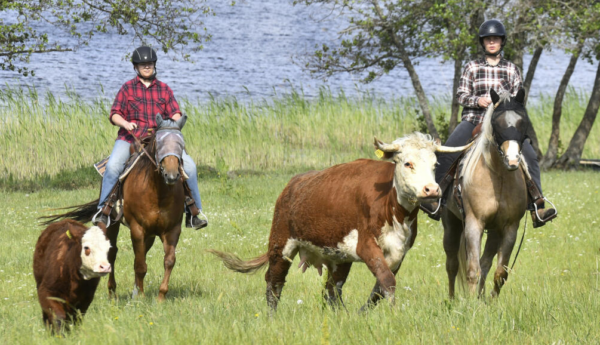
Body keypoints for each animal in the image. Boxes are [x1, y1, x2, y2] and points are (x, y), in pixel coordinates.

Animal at [42, 114, 188, 300]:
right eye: (160, 143)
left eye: (181, 144)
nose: (171, 175)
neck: (158, 192)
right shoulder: (137, 228)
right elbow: (140, 265)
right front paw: (141, 297)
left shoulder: (172, 229)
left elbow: (168, 261)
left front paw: (160, 296)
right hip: (112, 224)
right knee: (112, 254)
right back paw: (112, 292)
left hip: (149, 234)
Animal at [209, 133, 472, 310]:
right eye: (408, 163)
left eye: (435, 164)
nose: (431, 190)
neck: (393, 208)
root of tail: (292, 185)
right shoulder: (366, 245)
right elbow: (387, 281)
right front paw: (393, 312)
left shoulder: (400, 251)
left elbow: (380, 286)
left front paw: (363, 313)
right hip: (281, 244)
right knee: (274, 282)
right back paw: (271, 315)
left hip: (339, 257)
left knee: (331, 289)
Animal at [440, 89, 528, 298]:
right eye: (497, 124)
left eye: (523, 122)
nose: (513, 160)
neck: (499, 177)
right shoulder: (474, 224)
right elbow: (472, 270)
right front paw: (471, 304)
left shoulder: (510, 228)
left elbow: (500, 273)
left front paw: (491, 302)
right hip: (451, 225)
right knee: (452, 265)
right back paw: (451, 299)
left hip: (494, 231)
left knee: (486, 263)